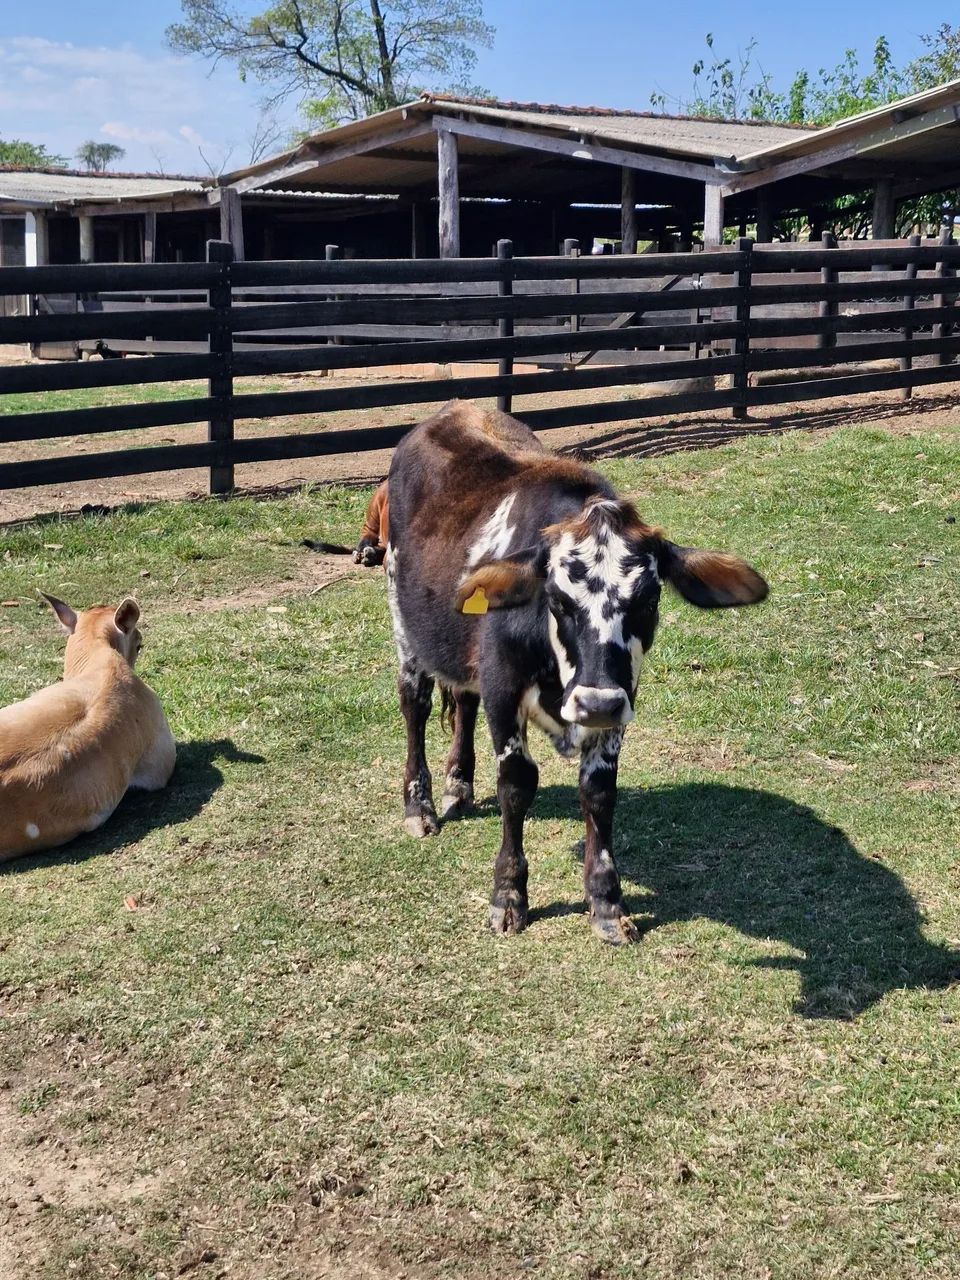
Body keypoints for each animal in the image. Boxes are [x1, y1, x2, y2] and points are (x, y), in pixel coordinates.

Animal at [385, 401, 768, 944]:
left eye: (649, 600)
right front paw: (508, 895)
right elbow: (517, 784)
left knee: (462, 700)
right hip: (404, 623)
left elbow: (599, 790)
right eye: (558, 599)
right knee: (414, 707)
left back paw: (459, 785)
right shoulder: (503, 690)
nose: (596, 702)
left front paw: (606, 902)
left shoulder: (620, 702)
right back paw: (420, 807)